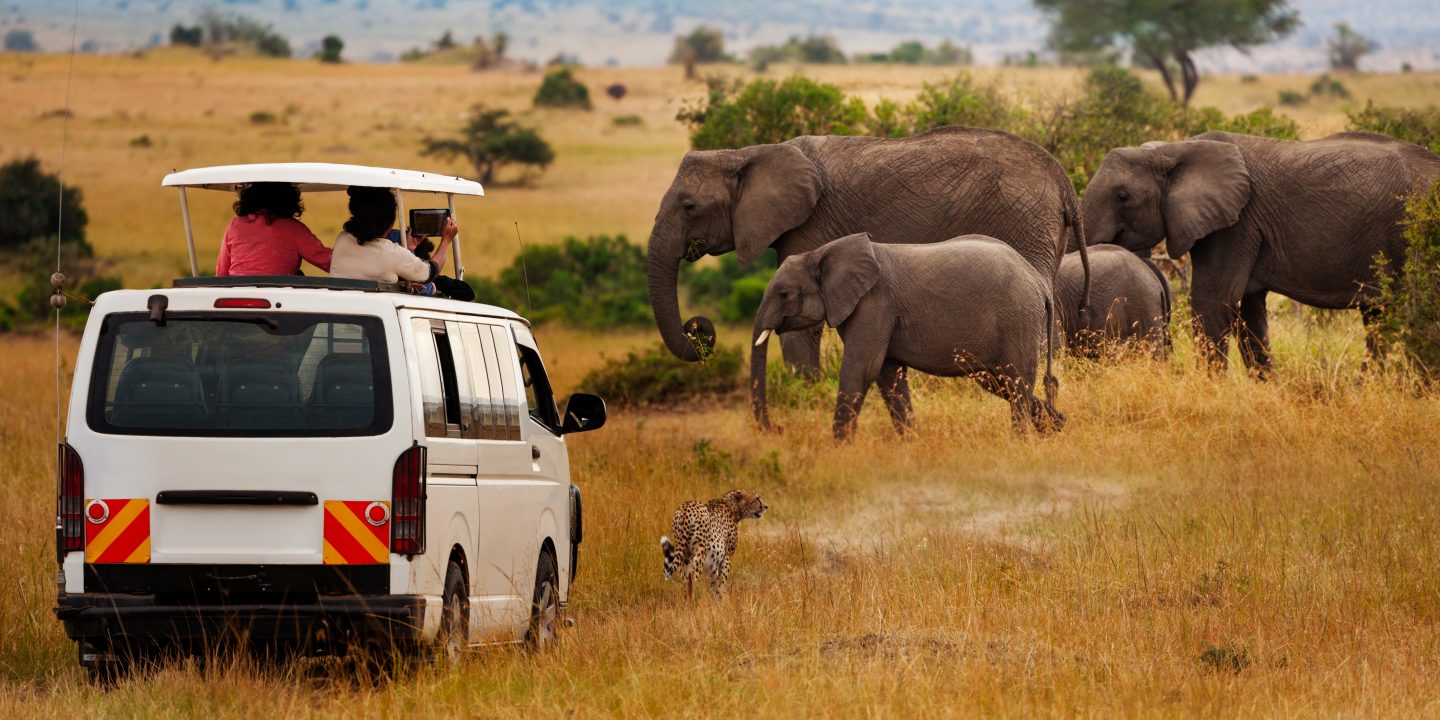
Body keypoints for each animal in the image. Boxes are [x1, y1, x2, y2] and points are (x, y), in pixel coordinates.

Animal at [748, 233, 1065, 440]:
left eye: (784, 294)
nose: (777, 429)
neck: (821, 252)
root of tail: (1039, 282)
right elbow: (888, 375)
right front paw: (910, 443)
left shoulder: (874, 305)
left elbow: (862, 369)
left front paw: (838, 448)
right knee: (1000, 381)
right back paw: (1056, 427)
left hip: (1017, 318)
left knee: (1015, 379)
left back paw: (1022, 440)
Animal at [1082, 131, 1440, 377]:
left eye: (1123, 196)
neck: (1175, 148)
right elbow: (1248, 311)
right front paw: (1271, 388)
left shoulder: (1236, 224)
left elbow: (1213, 301)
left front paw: (1211, 389)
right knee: (1377, 318)